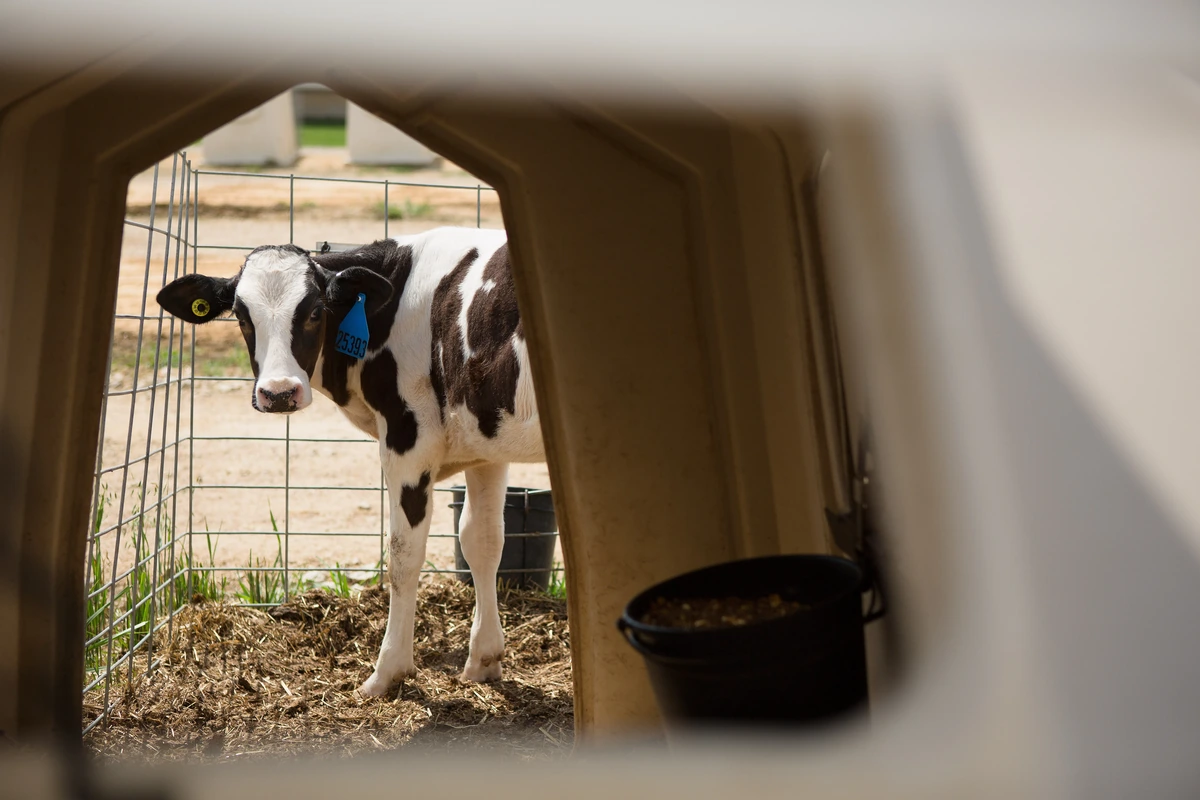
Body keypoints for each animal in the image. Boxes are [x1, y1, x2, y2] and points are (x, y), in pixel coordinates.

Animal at [156, 226, 544, 696]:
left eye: (314, 311)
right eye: (242, 317)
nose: (279, 392)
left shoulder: (407, 438)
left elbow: (403, 556)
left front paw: (388, 672)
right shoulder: (484, 440)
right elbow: (482, 542)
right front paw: (483, 661)